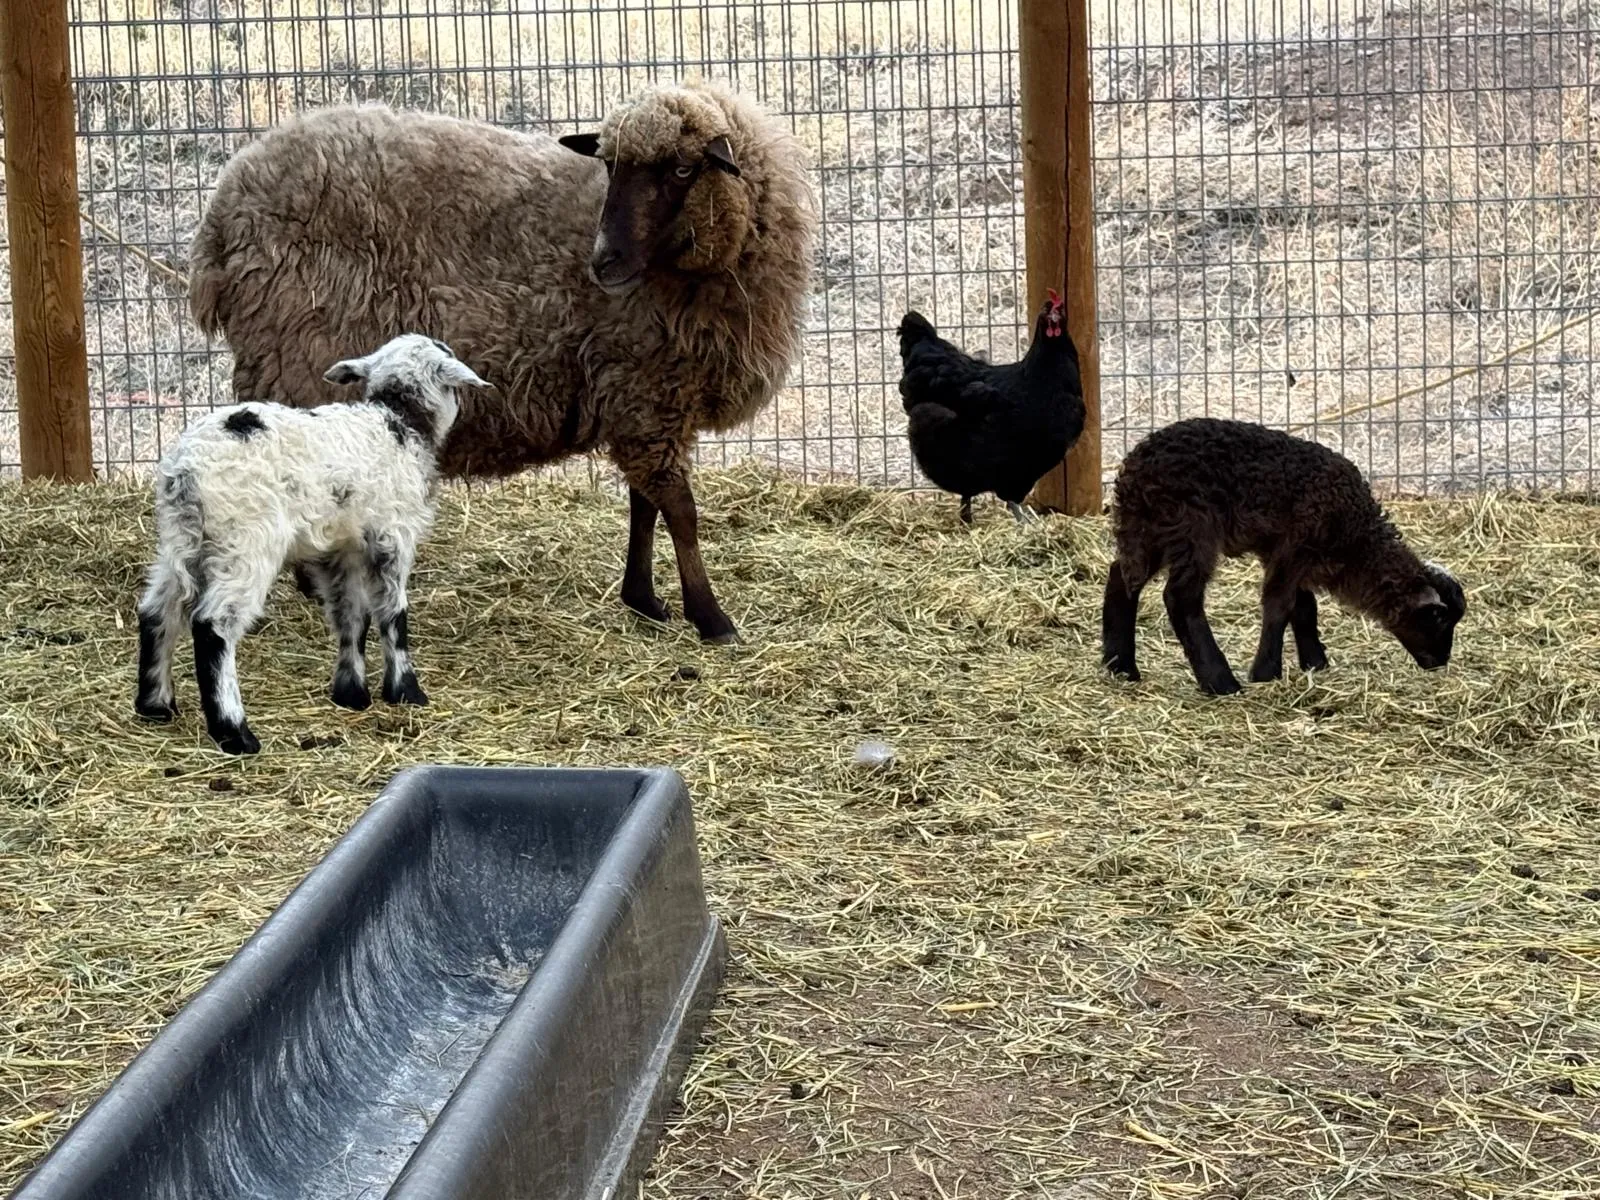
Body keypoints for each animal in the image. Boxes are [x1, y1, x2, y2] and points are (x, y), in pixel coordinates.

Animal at [133, 333, 491, 755]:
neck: (399, 420)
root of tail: (186, 469)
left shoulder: (343, 548)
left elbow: (352, 616)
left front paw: (351, 693)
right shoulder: (393, 537)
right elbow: (393, 614)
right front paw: (406, 690)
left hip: (181, 539)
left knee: (157, 611)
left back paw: (155, 705)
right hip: (245, 542)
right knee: (212, 625)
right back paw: (234, 732)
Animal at [188, 79, 817, 645]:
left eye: (682, 171)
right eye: (610, 167)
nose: (603, 263)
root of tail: (219, 221)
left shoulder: (647, 393)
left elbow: (646, 505)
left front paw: (645, 599)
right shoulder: (644, 389)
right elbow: (680, 511)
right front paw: (710, 617)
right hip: (294, 357)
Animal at [1100, 418, 1467, 695]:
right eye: (1439, 619)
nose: (1440, 661)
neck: (1356, 538)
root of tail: (1134, 470)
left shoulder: (1288, 553)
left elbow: (1304, 607)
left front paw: (1315, 663)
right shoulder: (1295, 545)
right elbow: (1280, 604)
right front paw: (1266, 672)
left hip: (1147, 529)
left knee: (1122, 577)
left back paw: (1121, 666)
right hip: (1191, 528)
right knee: (1180, 597)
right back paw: (1220, 682)